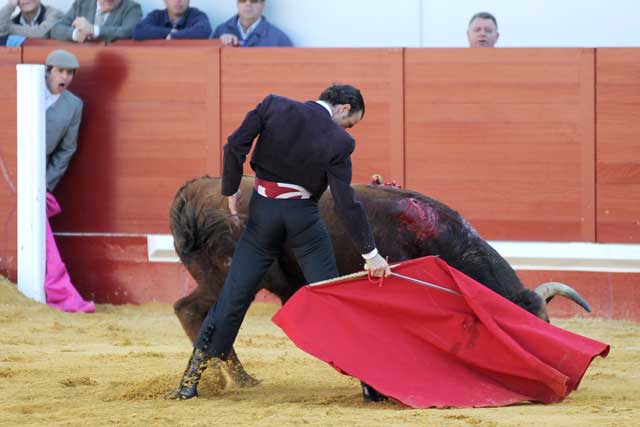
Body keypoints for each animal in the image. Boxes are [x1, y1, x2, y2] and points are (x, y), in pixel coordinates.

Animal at [169, 176, 592, 390]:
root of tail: (193, 191)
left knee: (205, 315)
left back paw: (232, 380)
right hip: (225, 274)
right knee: (197, 311)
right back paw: (217, 381)